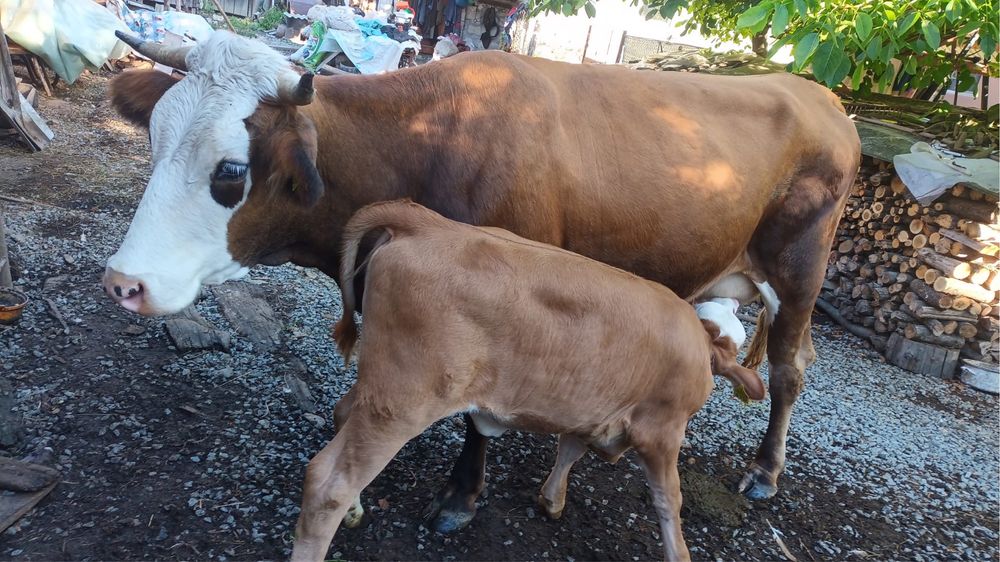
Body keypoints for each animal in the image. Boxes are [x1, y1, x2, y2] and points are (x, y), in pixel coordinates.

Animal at [290, 199, 767, 562]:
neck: (700, 337)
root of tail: (429, 224)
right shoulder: (662, 431)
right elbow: (670, 500)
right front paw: (679, 552)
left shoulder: (591, 406)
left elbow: (570, 447)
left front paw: (552, 500)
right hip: (404, 401)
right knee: (328, 485)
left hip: (382, 387)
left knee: (342, 414)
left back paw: (355, 509)